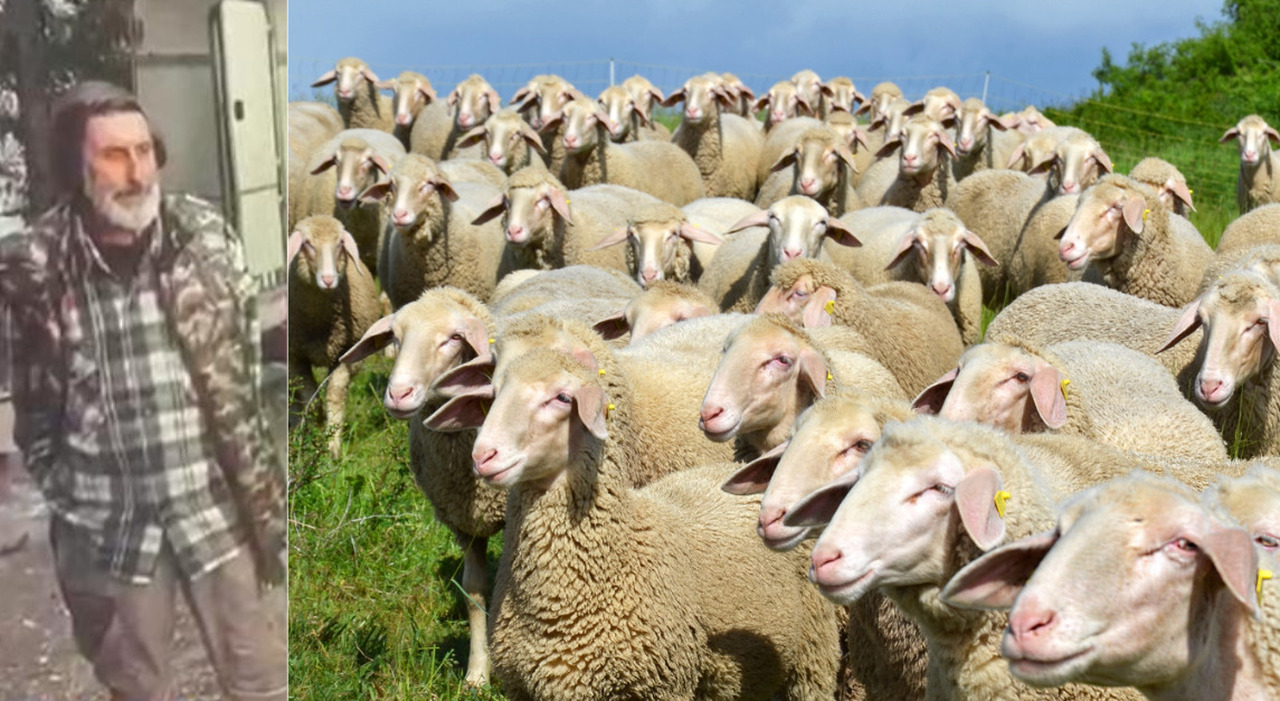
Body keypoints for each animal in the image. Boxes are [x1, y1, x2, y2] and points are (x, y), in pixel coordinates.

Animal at [286, 215, 380, 457]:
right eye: (307, 243)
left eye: (340, 244)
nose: (328, 279)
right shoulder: (295, 357)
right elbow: (309, 399)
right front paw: (310, 435)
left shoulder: (347, 353)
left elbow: (335, 395)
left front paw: (332, 449)